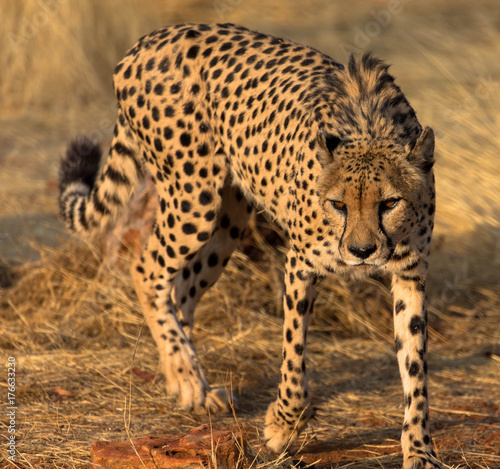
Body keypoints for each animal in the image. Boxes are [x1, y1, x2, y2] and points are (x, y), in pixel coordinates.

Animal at [59, 22, 442, 468]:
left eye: (389, 203)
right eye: (338, 205)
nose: (362, 252)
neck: (369, 127)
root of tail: (149, 40)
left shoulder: (410, 275)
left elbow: (415, 367)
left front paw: (419, 449)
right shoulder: (301, 265)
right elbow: (293, 351)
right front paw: (283, 424)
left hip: (228, 222)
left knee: (181, 290)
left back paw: (189, 381)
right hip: (193, 199)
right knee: (148, 269)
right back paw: (187, 376)